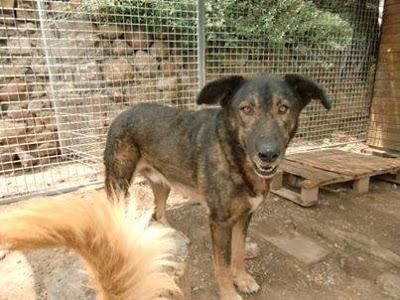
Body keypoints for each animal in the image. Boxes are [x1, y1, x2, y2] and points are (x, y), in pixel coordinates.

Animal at [104, 73, 332, 300]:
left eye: (284, 108)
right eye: (246, 109)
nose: (268, 154)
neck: (234, 156)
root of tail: (123, 113)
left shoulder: (244, 216)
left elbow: (238, 252)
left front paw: (243, 279)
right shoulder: (220, 222)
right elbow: (223, 264)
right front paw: (229, 294)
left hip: (164, 180)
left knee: (158, 211)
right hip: (119, 183)